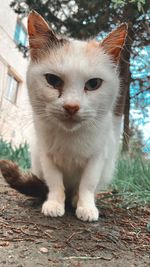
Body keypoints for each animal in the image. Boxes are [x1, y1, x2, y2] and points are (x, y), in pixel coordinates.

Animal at [0, 10, 127, 223]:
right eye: (53, 80)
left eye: (93, 84)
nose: (71, 106)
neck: (70, 138)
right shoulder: (45, 154)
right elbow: (55, 182)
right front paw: (54, 204)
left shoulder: (98, 156)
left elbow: (87, 184)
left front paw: (85, 206)